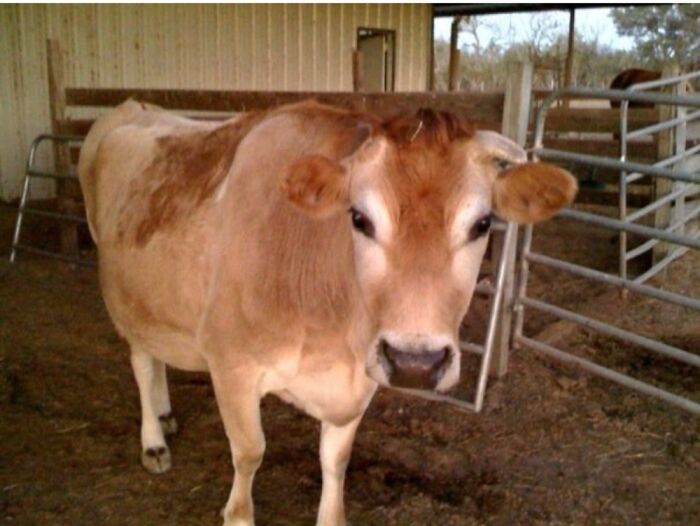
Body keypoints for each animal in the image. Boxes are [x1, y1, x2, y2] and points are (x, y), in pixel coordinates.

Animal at [78, 99, 577, 526]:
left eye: (482, 223)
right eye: (359, 218)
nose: (415, 363)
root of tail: (133, 106)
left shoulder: (359, 378)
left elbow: (335, 460)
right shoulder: (230, 364)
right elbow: (249, 451)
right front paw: (238, 512)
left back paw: (164, 414)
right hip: (121, 292)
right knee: (142, 361)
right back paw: (153, 441)